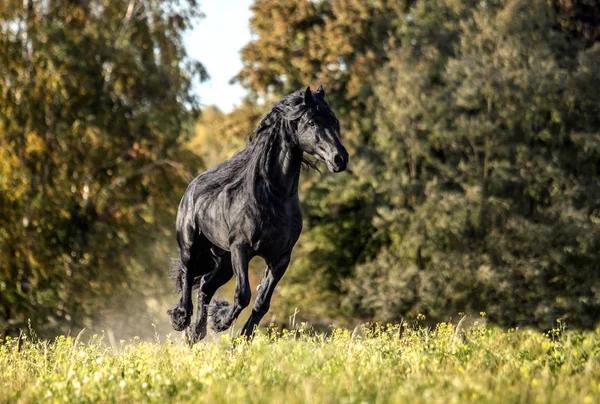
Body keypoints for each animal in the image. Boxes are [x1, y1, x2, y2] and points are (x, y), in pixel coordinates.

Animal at [168, 87, 346, 342]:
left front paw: (241, 337)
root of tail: (192, 187)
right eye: (311, 122)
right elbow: (243, 294)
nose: (340, 159)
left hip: (223, 260)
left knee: (205, 286)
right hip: (193, 248)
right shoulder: (241, 248)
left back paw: (197, 333)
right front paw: (221, 321)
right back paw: (182, 318)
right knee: (186, 274)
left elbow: (262, 302)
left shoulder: (280, 257)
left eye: (333, 121)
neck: (274, 196)